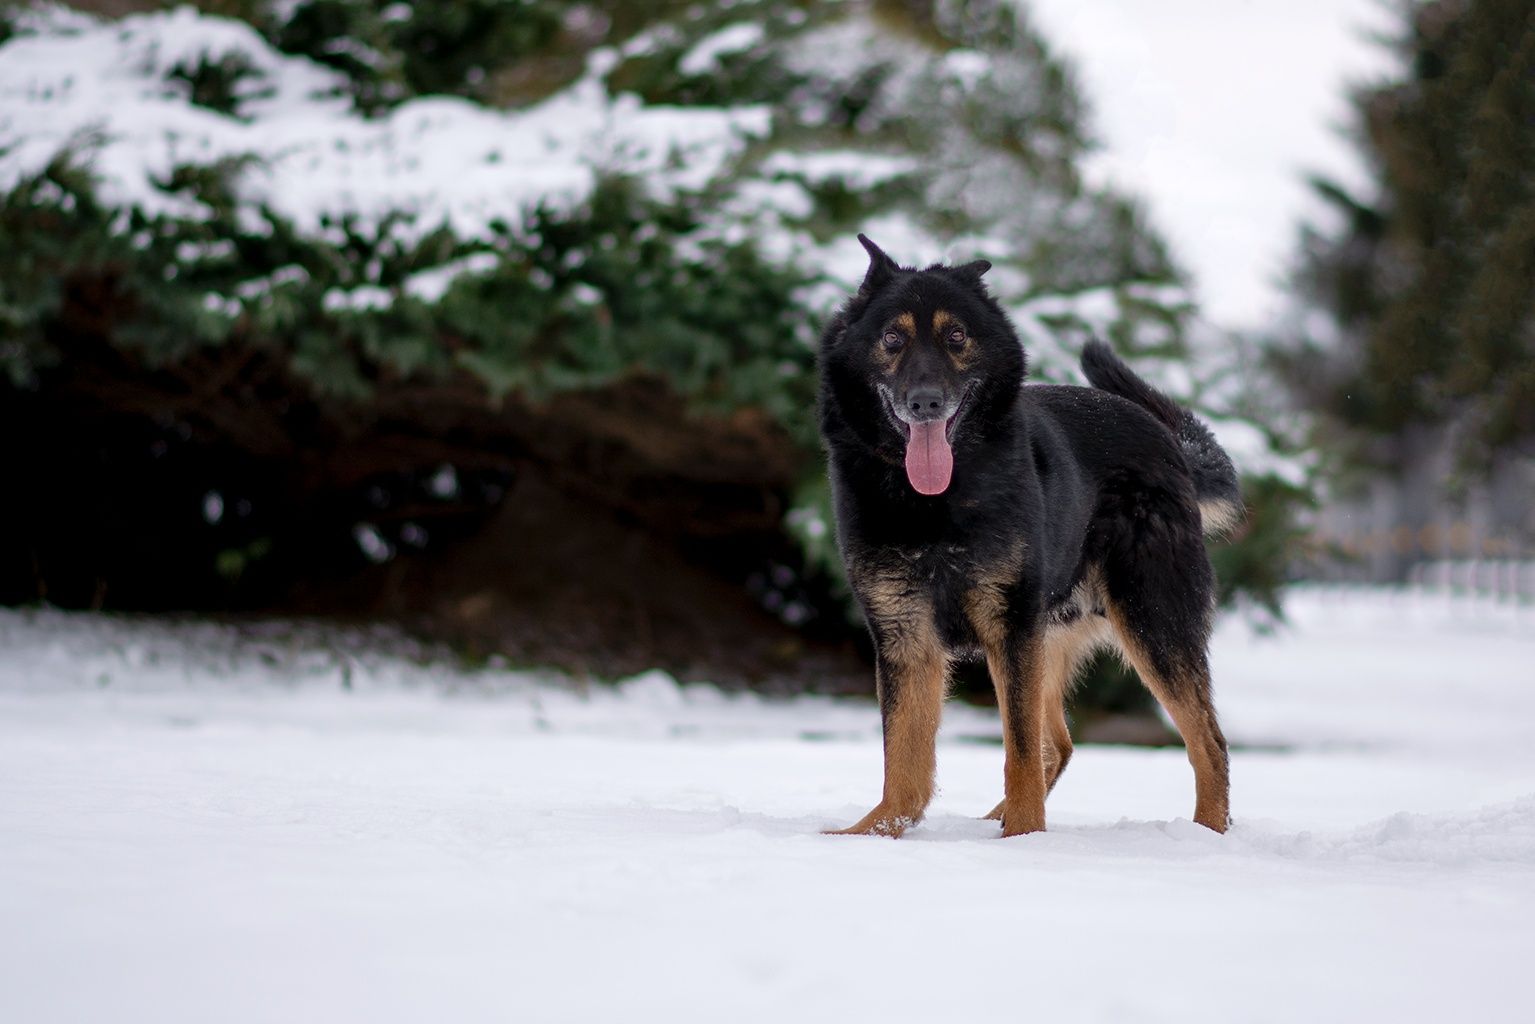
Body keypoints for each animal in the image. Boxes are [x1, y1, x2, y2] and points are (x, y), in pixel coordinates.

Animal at [822, 236, 1240, 835]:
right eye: (892, 338)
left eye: (956, 336)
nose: (925, 402)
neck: (935, 502)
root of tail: (1171, 447)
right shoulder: (907, 637)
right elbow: (904, 757)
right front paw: (877, 833)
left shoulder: (1008, 629)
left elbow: (1014, 748)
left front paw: (1023, 836)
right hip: (1055, 637)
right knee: (1059, 745)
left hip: (1152, 624)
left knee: (1209, 744)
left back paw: (1204, 834)